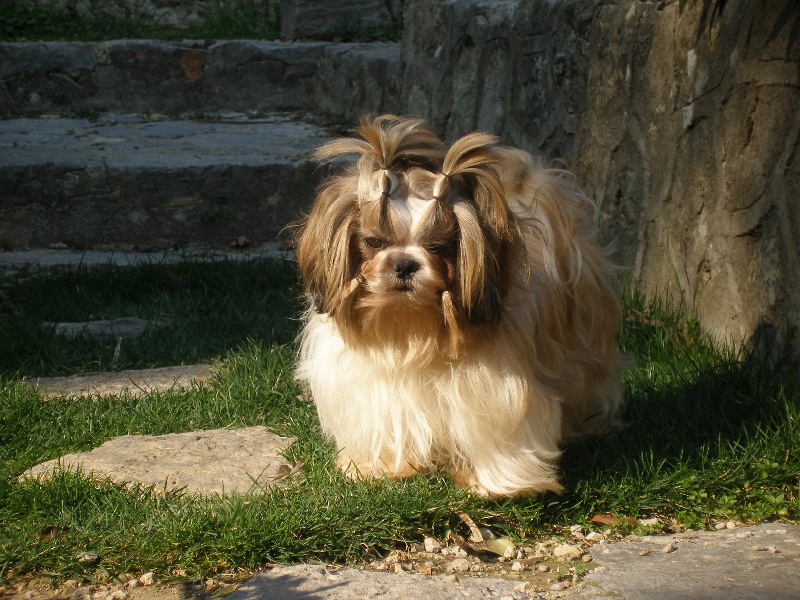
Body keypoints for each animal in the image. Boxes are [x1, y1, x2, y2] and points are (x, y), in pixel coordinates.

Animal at [294, 113, 624, 496]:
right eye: (374, 241)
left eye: (438, 246)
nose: (404, 264)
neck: (410, 327)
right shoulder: (377, 389)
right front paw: (384, 467)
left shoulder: (495, 392)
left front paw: (500, 484)